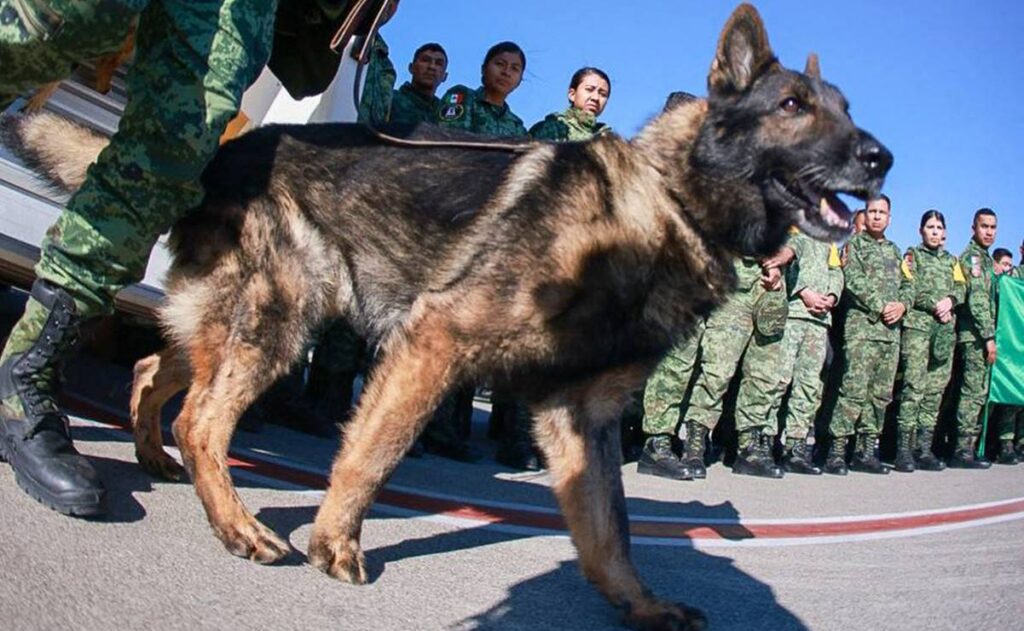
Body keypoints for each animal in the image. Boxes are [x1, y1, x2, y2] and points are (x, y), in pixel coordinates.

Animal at [4, 6, 888, 631]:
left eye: (845, 111)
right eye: (792, 105)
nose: (880, 159)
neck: (667, 202)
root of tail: (221, 152)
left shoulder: (581, 418)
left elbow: (610, 527)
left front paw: (639, 604)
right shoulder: (436, 342)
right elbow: (373, 453)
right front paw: (336, 542)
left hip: (245, 321)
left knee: (157, 369)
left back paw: (156, 457)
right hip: (284, 318)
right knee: (203, 417)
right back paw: (235, 523)